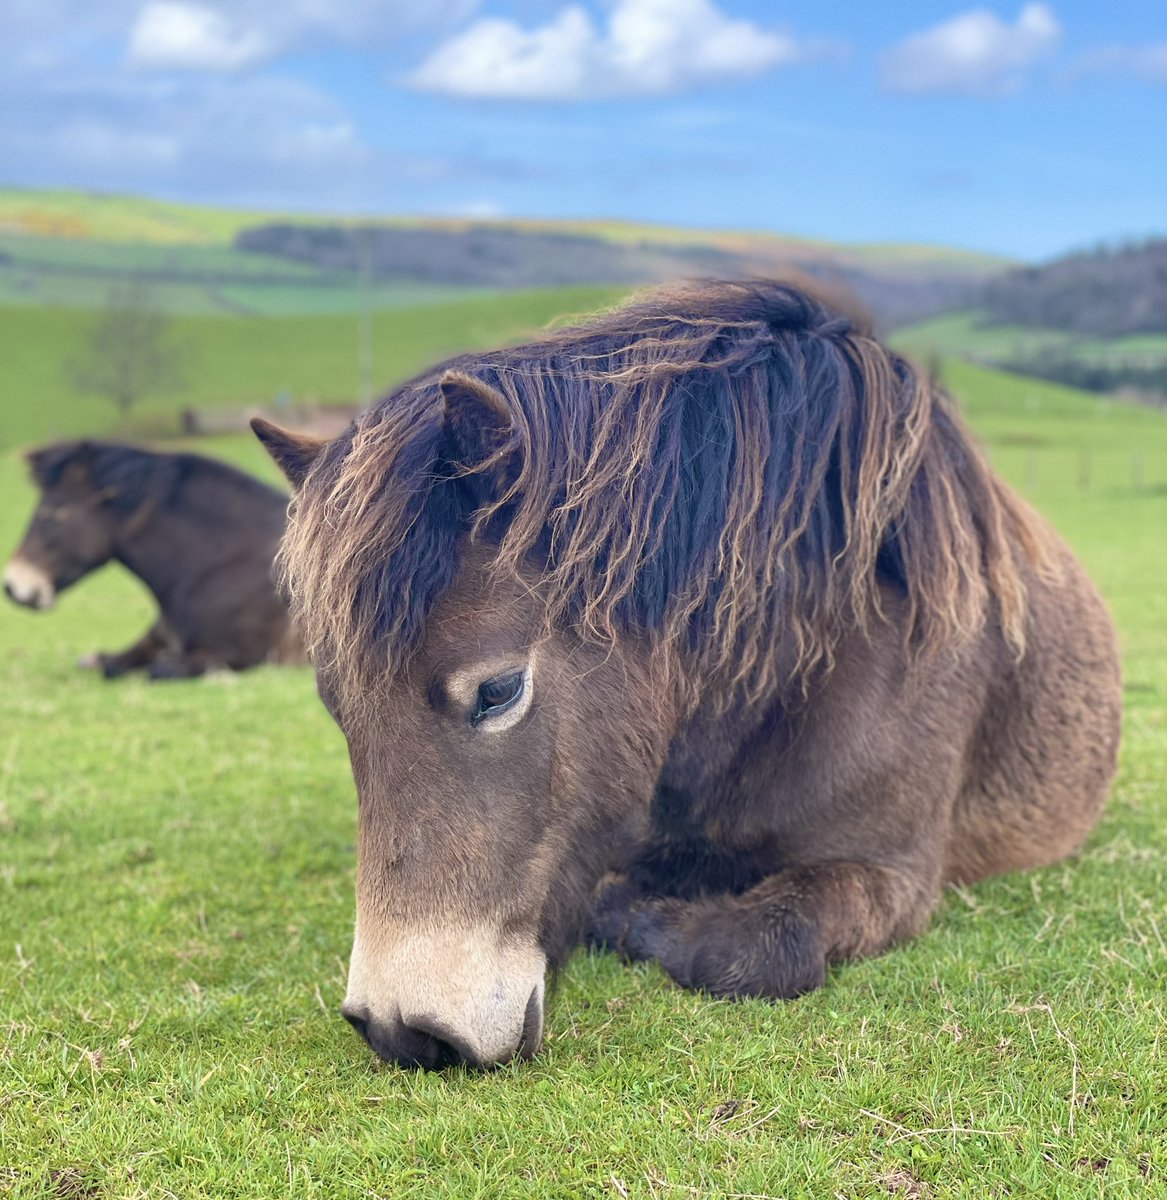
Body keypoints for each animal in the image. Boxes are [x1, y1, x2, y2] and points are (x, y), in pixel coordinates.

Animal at [253, 278, 1123, 1070]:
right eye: (336, 708)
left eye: (497, 691)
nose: (402, 1028)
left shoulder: (897, 877)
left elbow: (752, 946)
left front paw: (632, 911)